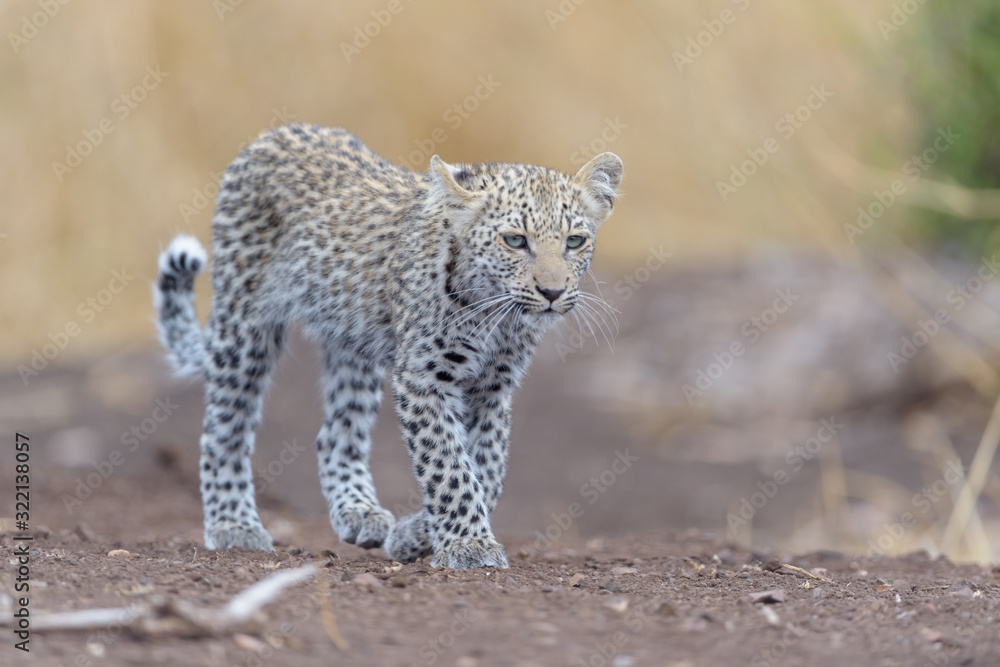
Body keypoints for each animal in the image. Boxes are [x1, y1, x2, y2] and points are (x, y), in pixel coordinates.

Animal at [153, 123, 622, 569]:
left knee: (336, 432)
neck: (498, 318)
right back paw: (233, 524)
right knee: (224, 428)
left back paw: (358, 512)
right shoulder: (425, 377)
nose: (552, 293)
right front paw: (467, 545)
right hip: (245, 326)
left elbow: (489, 470)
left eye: (575, 241)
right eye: (515, 240)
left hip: (351, 339)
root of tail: (273, 134)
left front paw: (418, 537)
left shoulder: (493, 387)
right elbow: (448, 465)